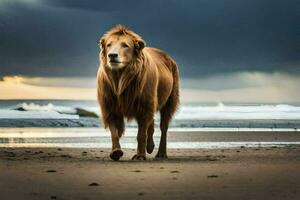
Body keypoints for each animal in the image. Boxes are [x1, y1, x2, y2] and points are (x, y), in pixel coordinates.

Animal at [97, 24, 179, 160]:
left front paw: (140, 155)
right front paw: (116, 152)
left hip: (170, 97)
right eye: (109, 44)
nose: (112, 55)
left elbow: (141, 133)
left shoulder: (143, 103)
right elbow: (114, 130)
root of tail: (169, 58)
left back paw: (161, 153)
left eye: (125, 45)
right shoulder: (109, 102)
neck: (120, 77)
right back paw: (150, 147)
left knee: (164, 126)